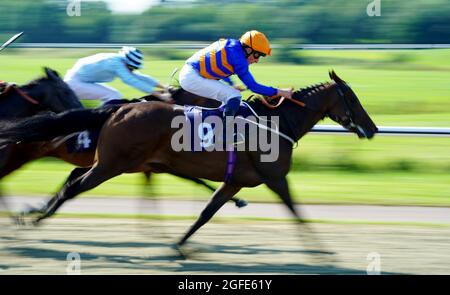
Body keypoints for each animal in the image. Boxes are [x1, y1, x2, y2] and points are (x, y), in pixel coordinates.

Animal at [0, 70, 378, 254]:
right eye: (353, 98)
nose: (373, 129)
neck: (277, 124)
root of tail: (120, 109)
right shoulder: (275, 178)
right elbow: (297, 211)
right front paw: (322, 250)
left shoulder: (234, 180)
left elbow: (206, 212)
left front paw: (179, 244)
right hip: (111, 165)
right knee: (73, 187)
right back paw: (35, 218)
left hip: (114, 162)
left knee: (73, 179)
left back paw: (32, 214)